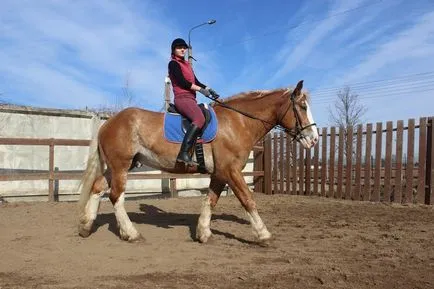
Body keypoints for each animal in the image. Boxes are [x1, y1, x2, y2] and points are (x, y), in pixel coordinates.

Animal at [76, 79, 318, 243]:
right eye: (303, 107)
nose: (314, 139)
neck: (238, 122)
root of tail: (108, 123)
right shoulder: (231, 171)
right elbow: (248, 200)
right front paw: (263, 233)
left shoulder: (220, 173)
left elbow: (210, 200)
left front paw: (203, 233)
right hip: (121, 166)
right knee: (116, 196)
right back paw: (131, 233)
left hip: (118, 166)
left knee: (98, 188)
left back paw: (86, 226)